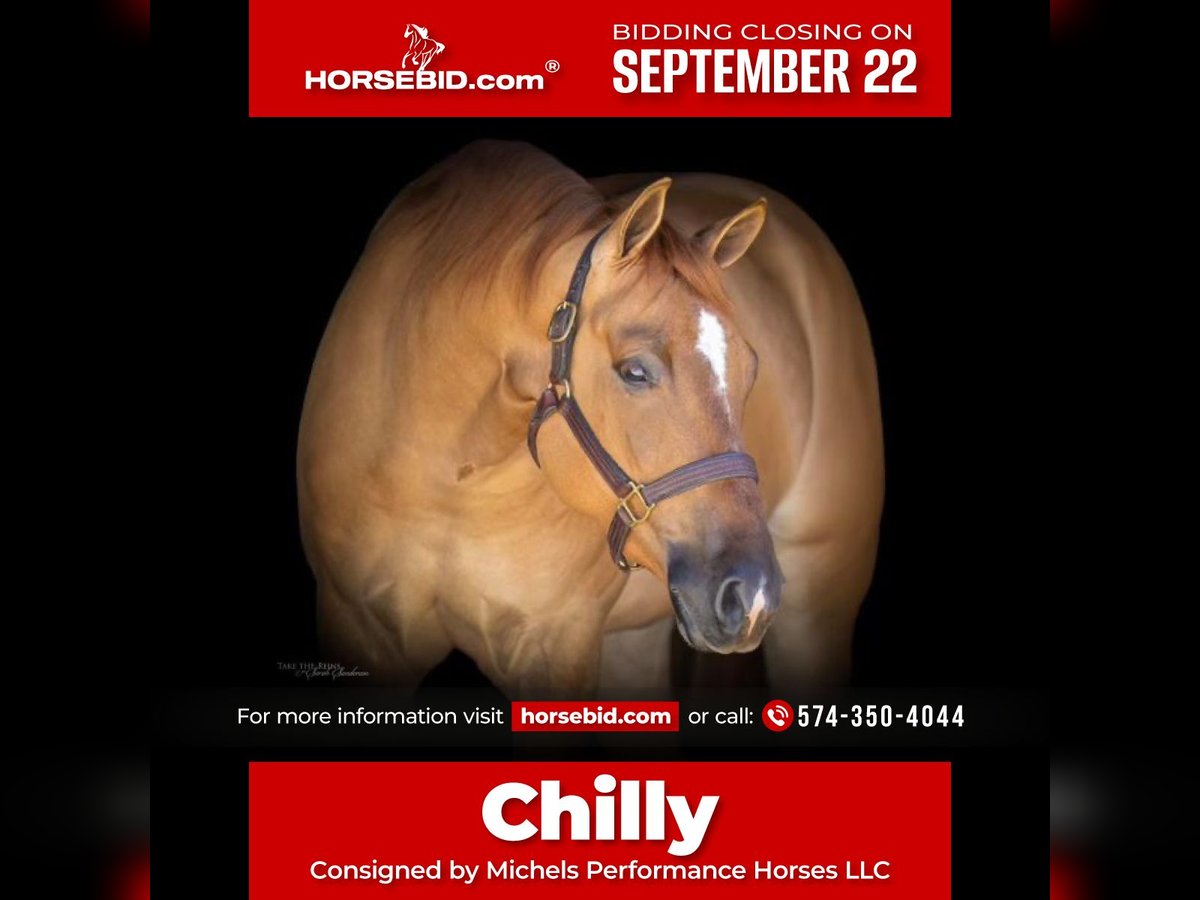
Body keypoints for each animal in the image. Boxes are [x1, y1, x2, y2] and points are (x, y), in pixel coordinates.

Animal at [297, 141, 883, 697]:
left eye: (751, 369)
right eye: (635, 371)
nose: (751, 593)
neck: (450, 477)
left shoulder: (556, 644)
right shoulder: (360, 629)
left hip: (817, 607)